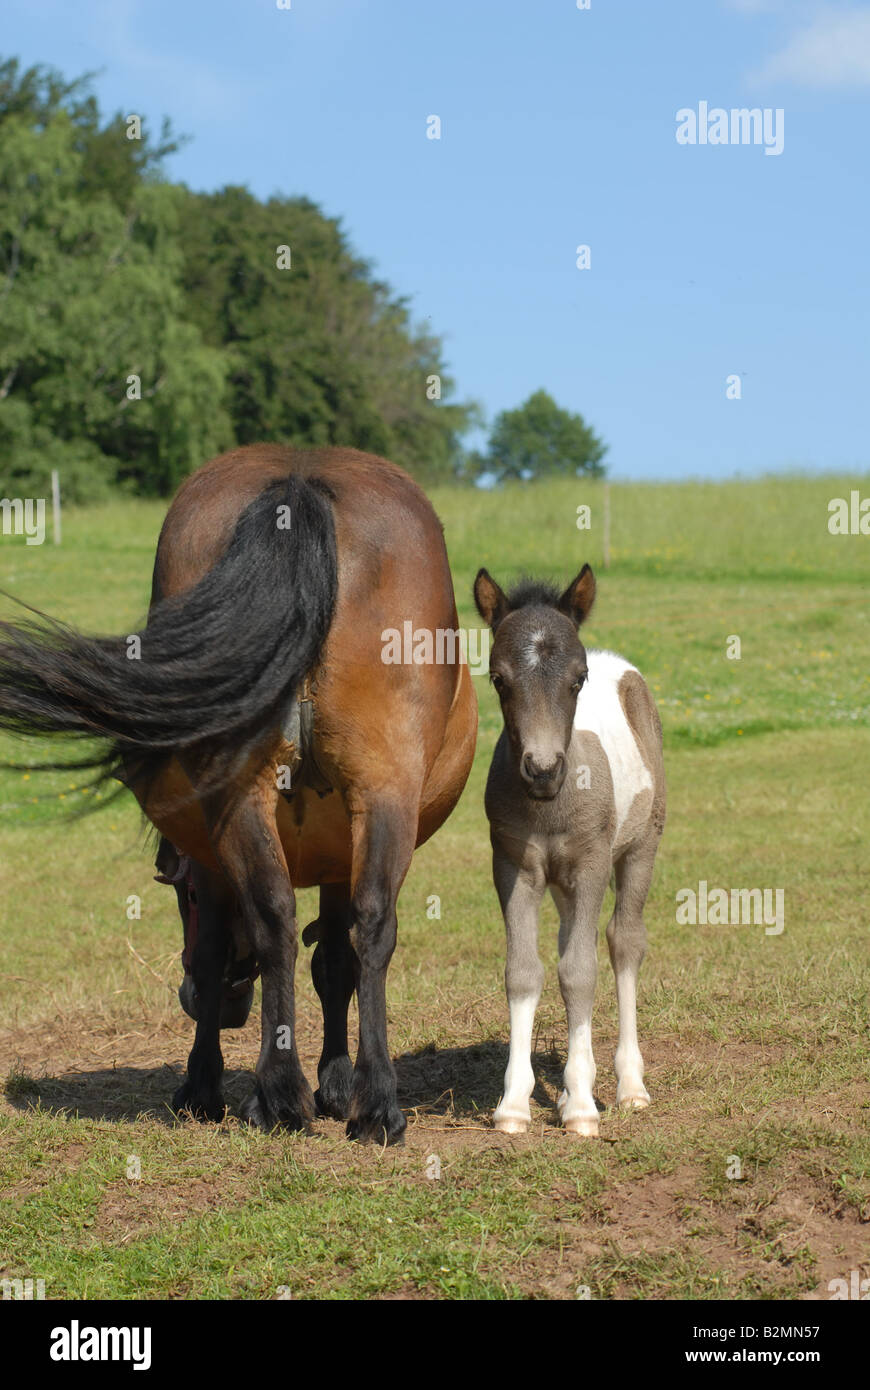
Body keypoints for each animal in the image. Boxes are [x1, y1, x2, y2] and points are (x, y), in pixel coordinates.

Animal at [475, 564, 664, 1139]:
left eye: (577, 680)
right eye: (499, 679)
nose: (542, 770)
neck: (549, 807)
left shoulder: (591, 863)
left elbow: (580, 970)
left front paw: (582, 1105)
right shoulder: (514, 866)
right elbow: (524, 971)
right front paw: (515, 1104)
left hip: (641, 846)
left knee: (624, 942)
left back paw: (629, 1086)